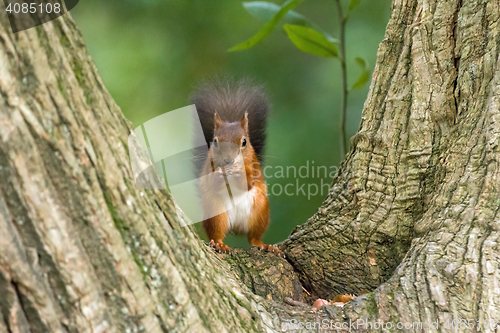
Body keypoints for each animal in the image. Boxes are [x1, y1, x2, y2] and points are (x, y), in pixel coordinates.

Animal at [191, 77, 282, 254]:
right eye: (215, 142)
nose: (228, 160)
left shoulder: (253, 165)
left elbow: (249, 182)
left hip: (259, 211)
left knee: (253, 238)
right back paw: (219, 244)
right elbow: (213, 182)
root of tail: (236, 227)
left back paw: (264, 245)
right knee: (217, 232)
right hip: (216, 211)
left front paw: (241, 173)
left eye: (244, 142)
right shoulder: (210, 165)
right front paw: (219, 175)